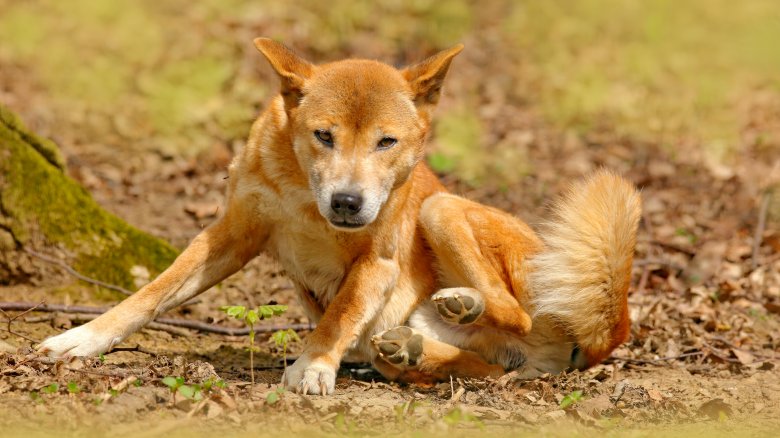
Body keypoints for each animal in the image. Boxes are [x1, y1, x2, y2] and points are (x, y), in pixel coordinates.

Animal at [38, 39, 640, 396]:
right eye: (323, 135)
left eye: (386, 142)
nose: (348, 202)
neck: (305, 199)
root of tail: (607, 329)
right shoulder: (231, 234)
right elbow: (152, 293)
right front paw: (84, 339)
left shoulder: (377, 262)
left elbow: (339, 313)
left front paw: (314, 365)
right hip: (454, 328)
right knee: (485, 365)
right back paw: (417, 344)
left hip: (440, 208)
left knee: (513, 314)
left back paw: (460, 305)